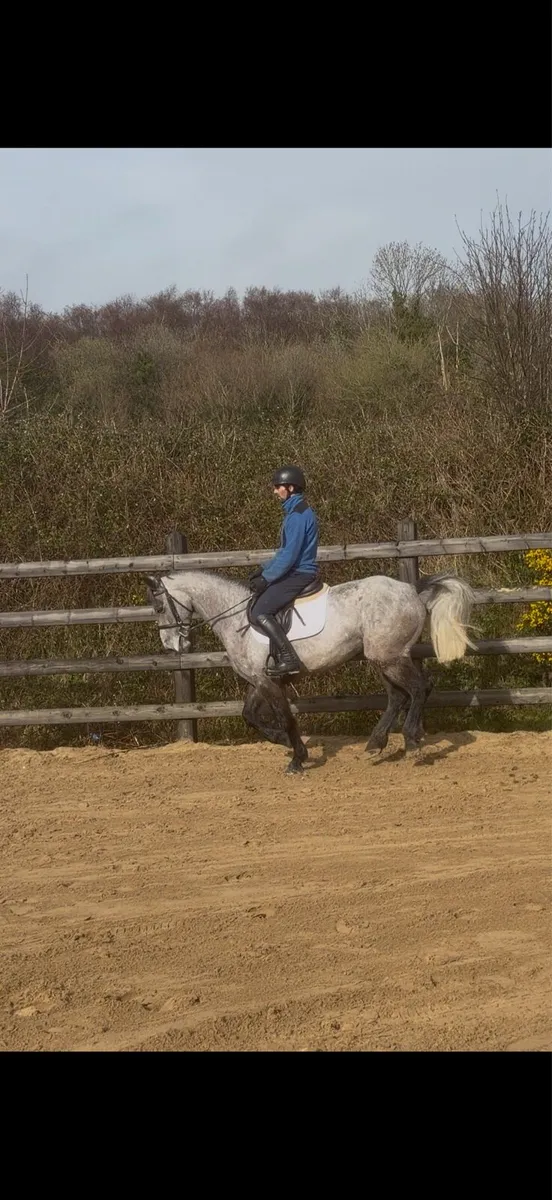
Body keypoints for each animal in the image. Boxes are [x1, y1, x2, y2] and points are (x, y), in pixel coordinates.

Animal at [145, 568, 476, 774]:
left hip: (390, 656)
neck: (235, 617)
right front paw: (282, 741)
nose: (171, 646)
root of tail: (412, 589)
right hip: (383, 657)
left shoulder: (267, 681)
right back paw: (376, 743)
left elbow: (285, 717)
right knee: (398, 696)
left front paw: (296, 758)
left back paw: (411, 740)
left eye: (159, 608)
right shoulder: (259, 680)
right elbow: (249, 715)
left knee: (420, 688)